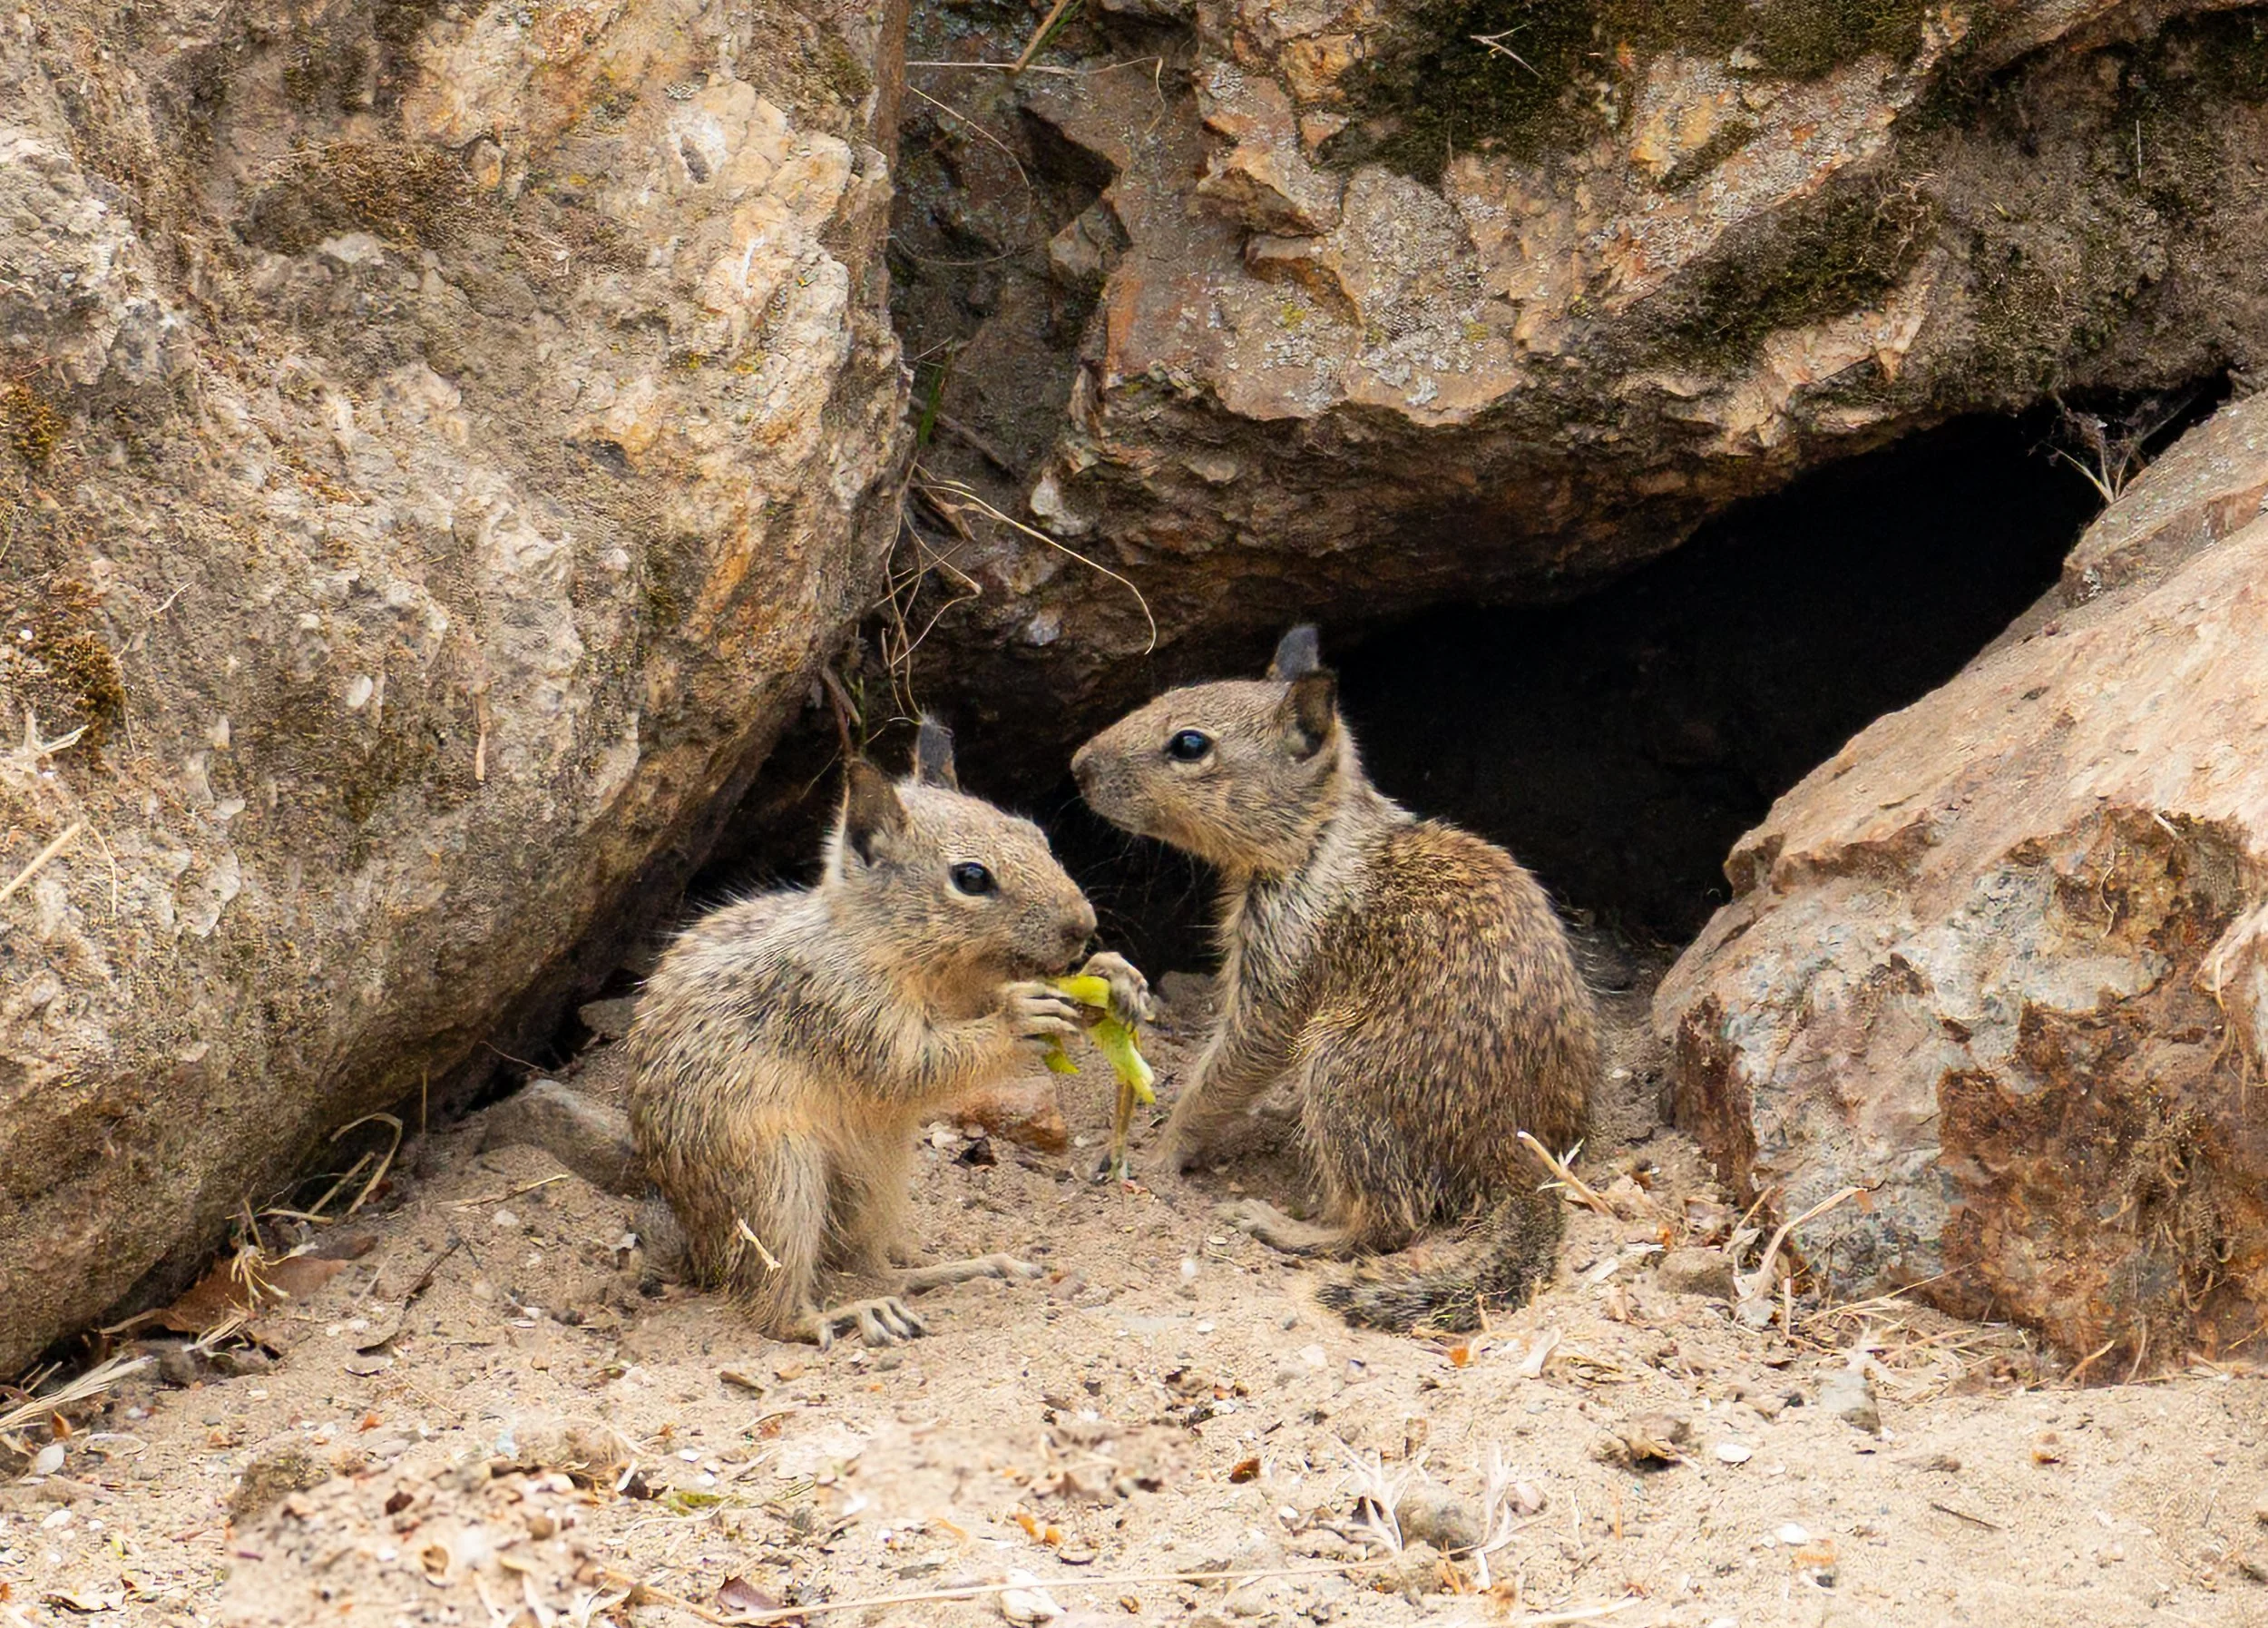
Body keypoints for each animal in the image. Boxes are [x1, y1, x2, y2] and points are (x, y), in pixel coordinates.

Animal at [628, 718, 1149, 1348]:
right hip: (779, 1182)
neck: (891, 948)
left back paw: (969, 1268)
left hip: (875, 1183)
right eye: (971, 877)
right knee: (772, 1305)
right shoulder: (848, 1010)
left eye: (1037, 835)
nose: (1083, 926)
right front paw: (1021, 1017)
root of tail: (695, 1249)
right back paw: (852, 1313)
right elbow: (918, 1063)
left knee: (870, 1264)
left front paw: (1114, 977)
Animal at [1070, 626, 1597, 1332]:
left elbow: (1229, 1069)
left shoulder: (1277, 968)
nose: (1079, 765)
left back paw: (1282, 1226)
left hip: (1342, 1075)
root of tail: (1519, 1156)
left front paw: (1162, 1154)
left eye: (1190, 745)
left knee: (1388, 1223)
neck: (1317, 838)